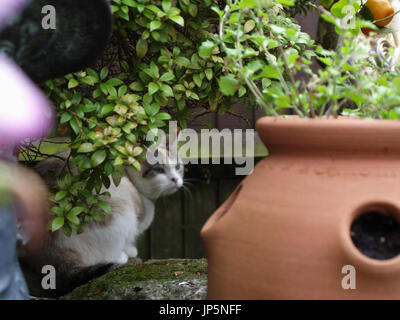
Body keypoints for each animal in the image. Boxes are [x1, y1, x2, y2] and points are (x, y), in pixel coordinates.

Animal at [25, 142, 185, 296]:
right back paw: (120, 257)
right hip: (120, 206)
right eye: (159, 170)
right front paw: (131, 250)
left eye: (177, 167)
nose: (176, 179)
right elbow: (128, 241)